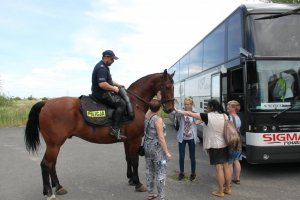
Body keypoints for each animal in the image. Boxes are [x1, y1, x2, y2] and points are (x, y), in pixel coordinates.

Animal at [24, 69, 175, 199]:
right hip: (54, 144)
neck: (133, 103)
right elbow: (135, 161)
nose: (170, 109)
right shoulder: (135, 139)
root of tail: (46, 103)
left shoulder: (127, 140)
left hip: (54, 144)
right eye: (168, 86)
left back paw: (58, 187)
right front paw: (138, 183)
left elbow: (128, 158)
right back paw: (49, 192)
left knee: (52, 164)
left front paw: (131, 179)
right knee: (46, 164)